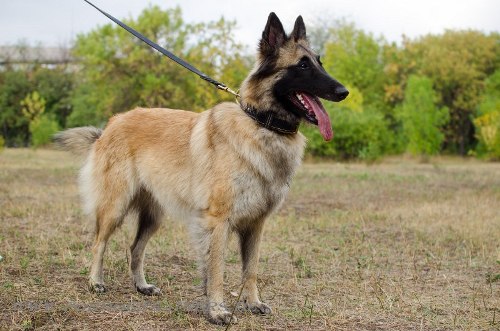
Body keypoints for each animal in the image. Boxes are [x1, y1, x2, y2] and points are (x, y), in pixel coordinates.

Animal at [54, 12, 348, 324]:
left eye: (319, 61)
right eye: (302, 65)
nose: (344, 92)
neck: (261, 124)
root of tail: (110, 125)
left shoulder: (255, 225)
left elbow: (251, 270)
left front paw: (253, 303)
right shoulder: (217, 222)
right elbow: (216, 270)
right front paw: (217, 310)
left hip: (154, 216)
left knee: (135, 248)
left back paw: (142, 286)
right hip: (115, 207)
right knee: (99, 242)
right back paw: (95, 281)